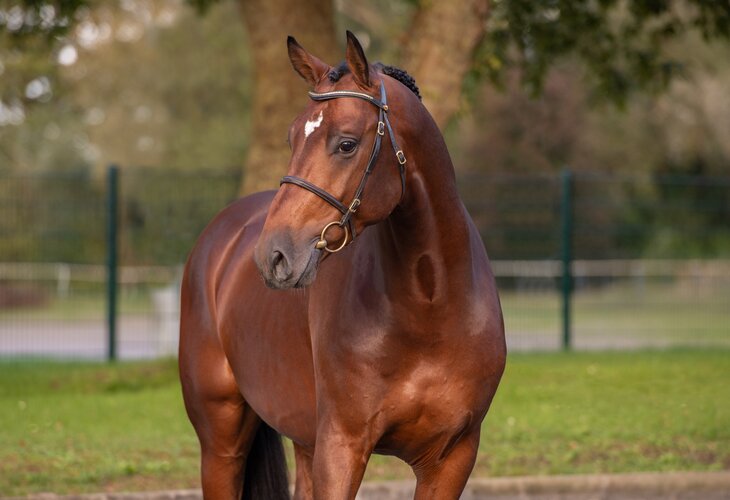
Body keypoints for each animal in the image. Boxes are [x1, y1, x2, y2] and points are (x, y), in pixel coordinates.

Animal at [179, 31, 506, 500]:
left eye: (347, 143)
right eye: (292, 139)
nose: (273, 255)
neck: (429, 303)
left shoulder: (451, 458)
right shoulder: (342, 448)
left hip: (303, 440)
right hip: (221, 442)